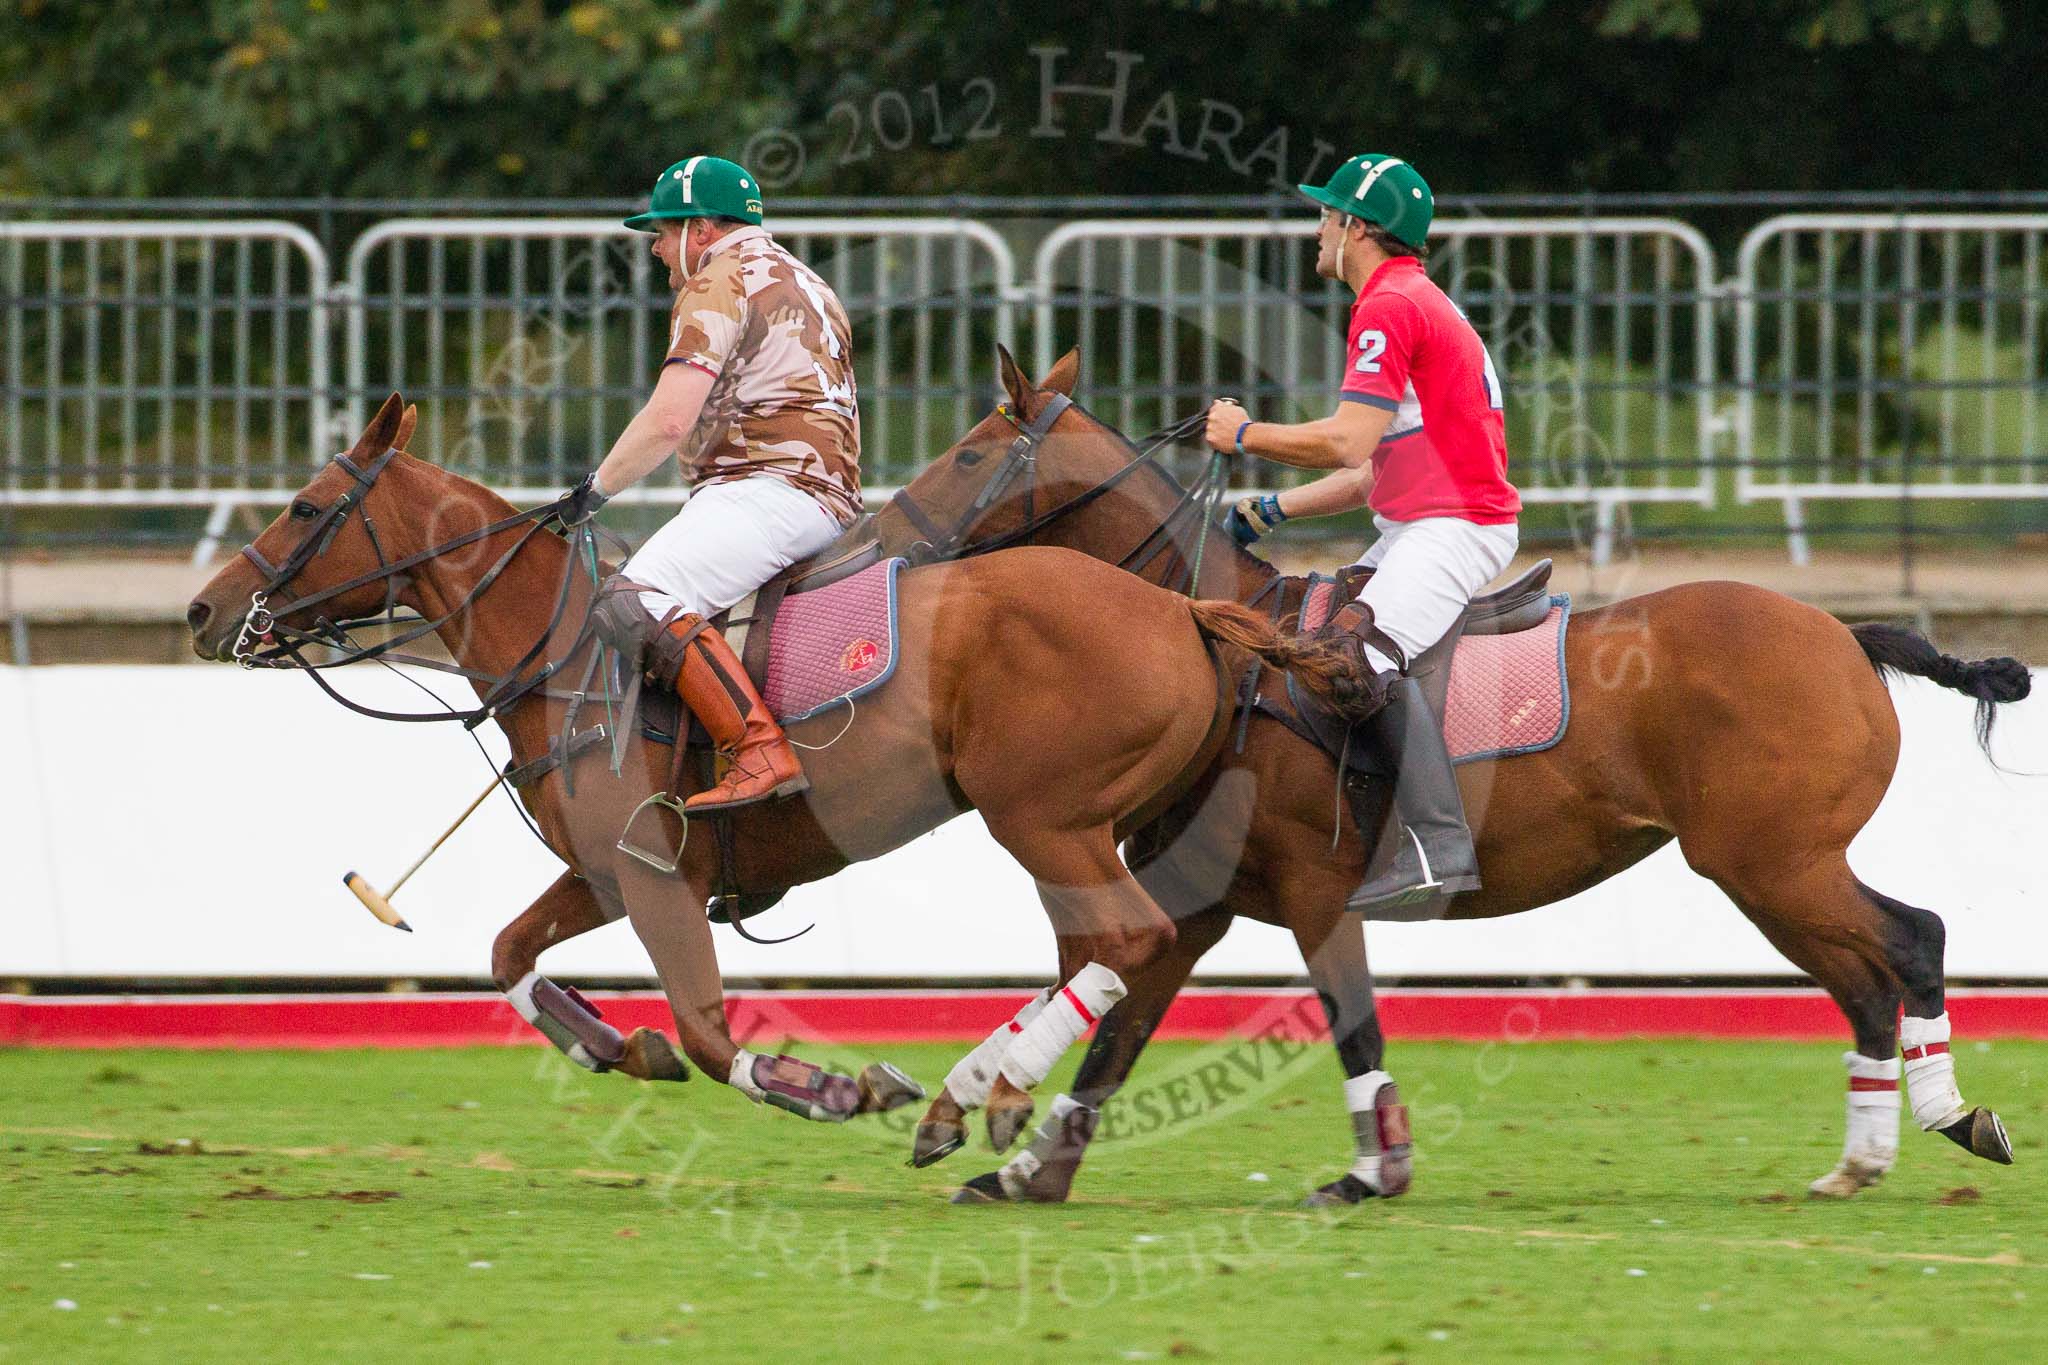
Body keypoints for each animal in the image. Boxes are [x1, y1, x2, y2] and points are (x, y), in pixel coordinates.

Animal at [184, 394, 1368, 1129]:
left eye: (302, 506)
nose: (202, 611)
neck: (556, 650)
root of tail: (1181, 606)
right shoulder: (609, 870)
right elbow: (509, 951)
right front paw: (612, 1045)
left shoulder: (654, 875)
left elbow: (710, 1033)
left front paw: (830, 1089)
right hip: (1075, 826)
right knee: (1104, 948)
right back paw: (980, 1099)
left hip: (1040, 816)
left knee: (1126, 937)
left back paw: (963, 1097)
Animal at [872, 347, 2023, 1203]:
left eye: (970, 454)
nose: (879, 534)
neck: (1225, 651)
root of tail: (1846, 633)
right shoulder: (1197, 898)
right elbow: (1115, 1027)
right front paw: (1018, 1160)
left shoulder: (1315, 890)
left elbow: (1348, 1024)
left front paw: (1371, 1172)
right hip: (1762, 870)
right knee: (1863, 980)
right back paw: (1860, 1158)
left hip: (1774, 859)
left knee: (1911, 941)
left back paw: (1955, 1118)